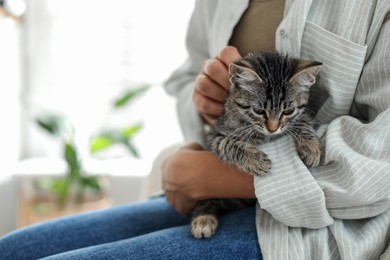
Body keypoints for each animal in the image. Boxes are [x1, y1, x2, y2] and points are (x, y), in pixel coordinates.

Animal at [191, 51, 322, 240]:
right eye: (259, 111)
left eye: (288, 111)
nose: (273, 128)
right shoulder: (214, 136)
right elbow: (229, 143)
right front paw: (255, 160)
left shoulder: (296, 118)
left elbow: (301, 121)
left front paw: (311, 147)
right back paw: (203, 218)